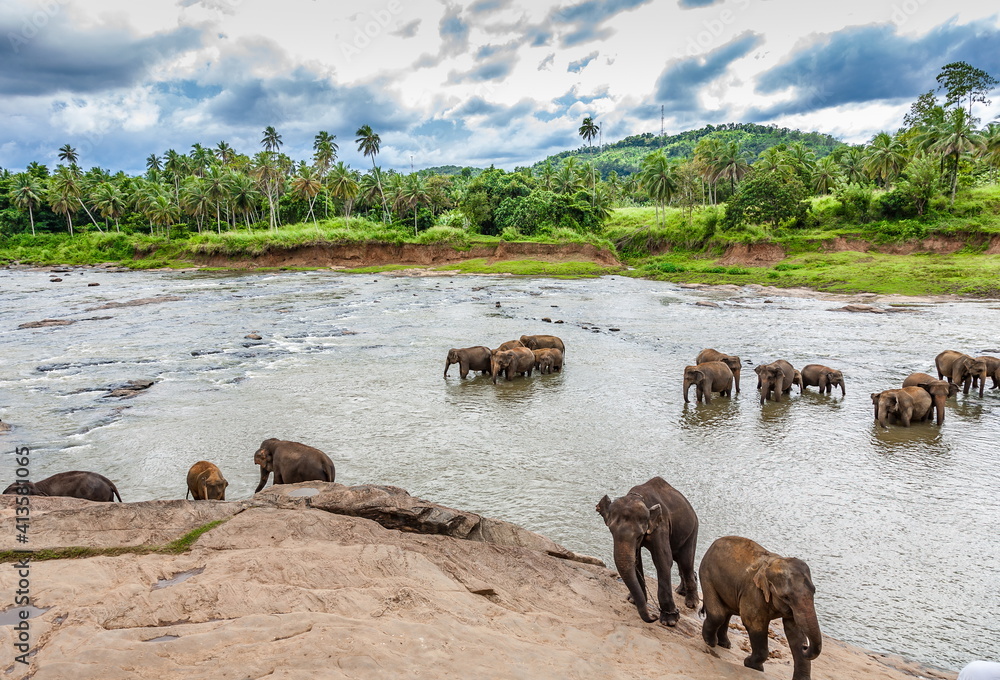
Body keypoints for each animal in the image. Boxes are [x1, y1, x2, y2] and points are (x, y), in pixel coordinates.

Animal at [596, 476, 699, 627]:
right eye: (611, 531)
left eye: (639, 535)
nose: (653, 617)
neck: (637, 498)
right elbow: (636, 560)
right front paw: (633, 601)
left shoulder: (661, 525)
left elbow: (663, 560)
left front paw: (669, 621)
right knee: (679, 560)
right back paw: (681, 591)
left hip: (692, 530)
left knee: (685, 561)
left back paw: (691, 603)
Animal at [700, 535, 822, 680]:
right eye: (786, 597)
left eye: (814, 591)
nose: (805, 647)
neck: (772, 565)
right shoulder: (753, 592)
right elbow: (754, 624)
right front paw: (752, 665)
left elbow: (794, 632)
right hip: (706, 573)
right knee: (718, 614)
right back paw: (711, 642)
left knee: (726, 613)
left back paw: (724, 644)